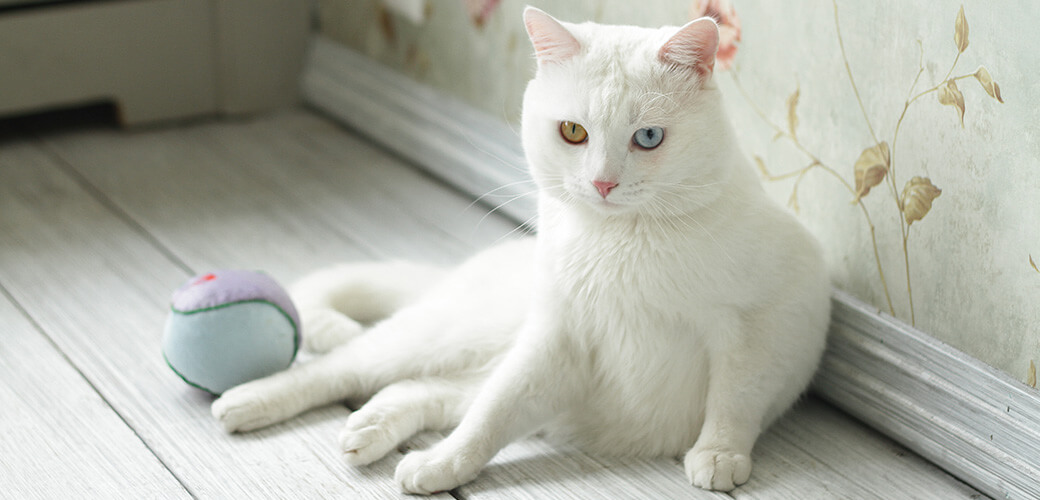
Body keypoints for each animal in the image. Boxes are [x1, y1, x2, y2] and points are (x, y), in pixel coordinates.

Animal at [211, 6, 827, 490]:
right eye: (574, 132)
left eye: (648, 137)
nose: (603, 183)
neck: (623, 242)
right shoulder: (558, 336)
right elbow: (494, 415)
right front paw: (449, 462)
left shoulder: (756, 328)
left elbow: (734, 399)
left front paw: (719, 454)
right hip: (454, 332)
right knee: (348, 369)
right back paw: (247, 402)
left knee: (427, 390)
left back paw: (371, 431)